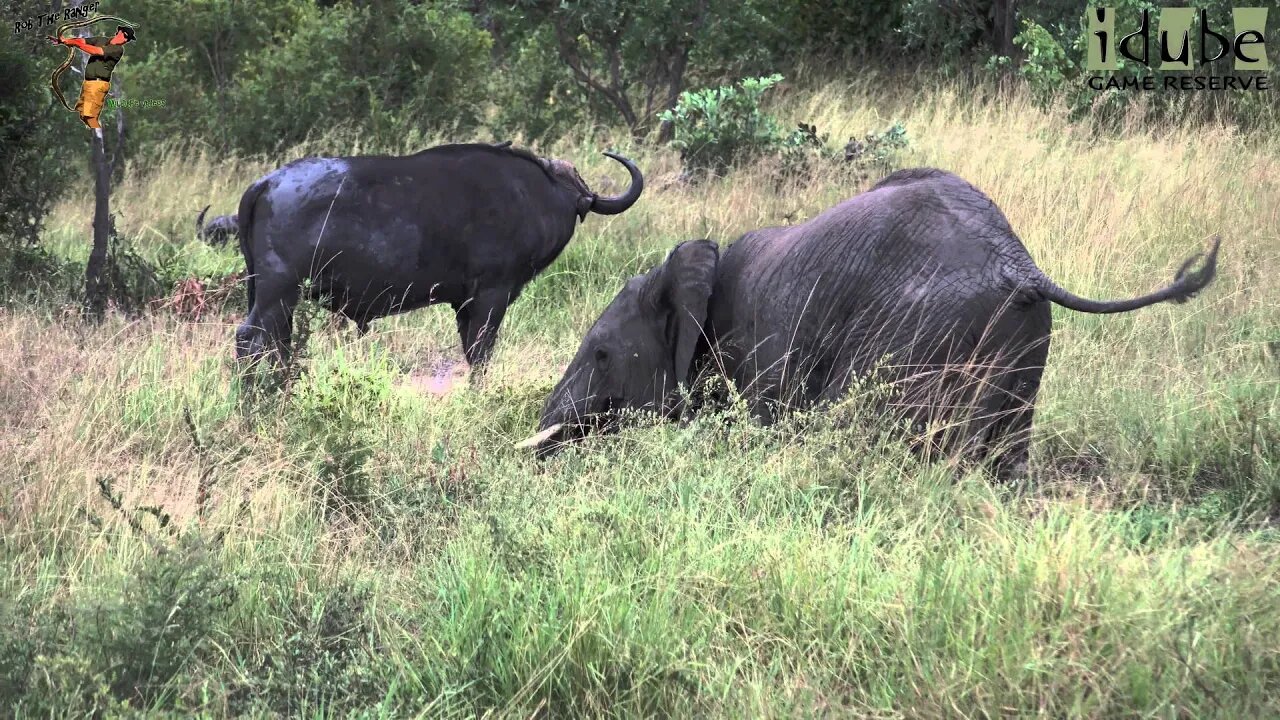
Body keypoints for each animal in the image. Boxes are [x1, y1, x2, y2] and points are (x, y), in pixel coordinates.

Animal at [232, 140, 640, 368]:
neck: (529, 193)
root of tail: (266, 183)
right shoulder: (491, 295)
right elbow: (481, 353)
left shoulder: (463, 304)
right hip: (278, 294)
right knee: (249, 340)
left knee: (276, 346)